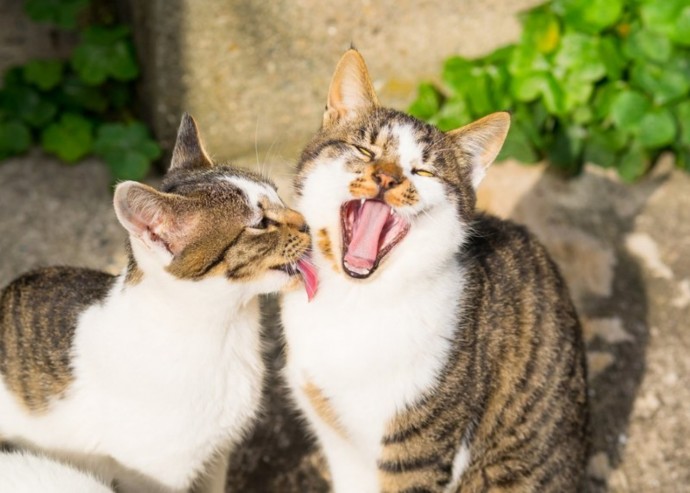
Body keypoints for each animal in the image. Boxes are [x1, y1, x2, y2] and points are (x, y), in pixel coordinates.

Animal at [0, 112, 316, 492]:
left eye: (278, 196)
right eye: (260, 223)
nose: (307, 223)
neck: (226, 331)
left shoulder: (217, 455)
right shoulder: (157, 474)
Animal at [280, 47, 584, 492]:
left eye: (422, 171)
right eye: (366, 151)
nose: (387, 177)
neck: (355, 303)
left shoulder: (418, 447)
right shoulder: (334, 434)